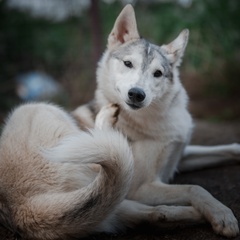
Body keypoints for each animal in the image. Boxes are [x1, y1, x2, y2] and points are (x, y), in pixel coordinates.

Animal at [73, 3, 240, 238]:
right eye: (128, 63)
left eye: (158, 73)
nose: (136, 94)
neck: (154, 116)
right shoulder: (141, 188)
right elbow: (195, 188)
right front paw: (221, 215)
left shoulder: (179, 156)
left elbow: (230, 148)